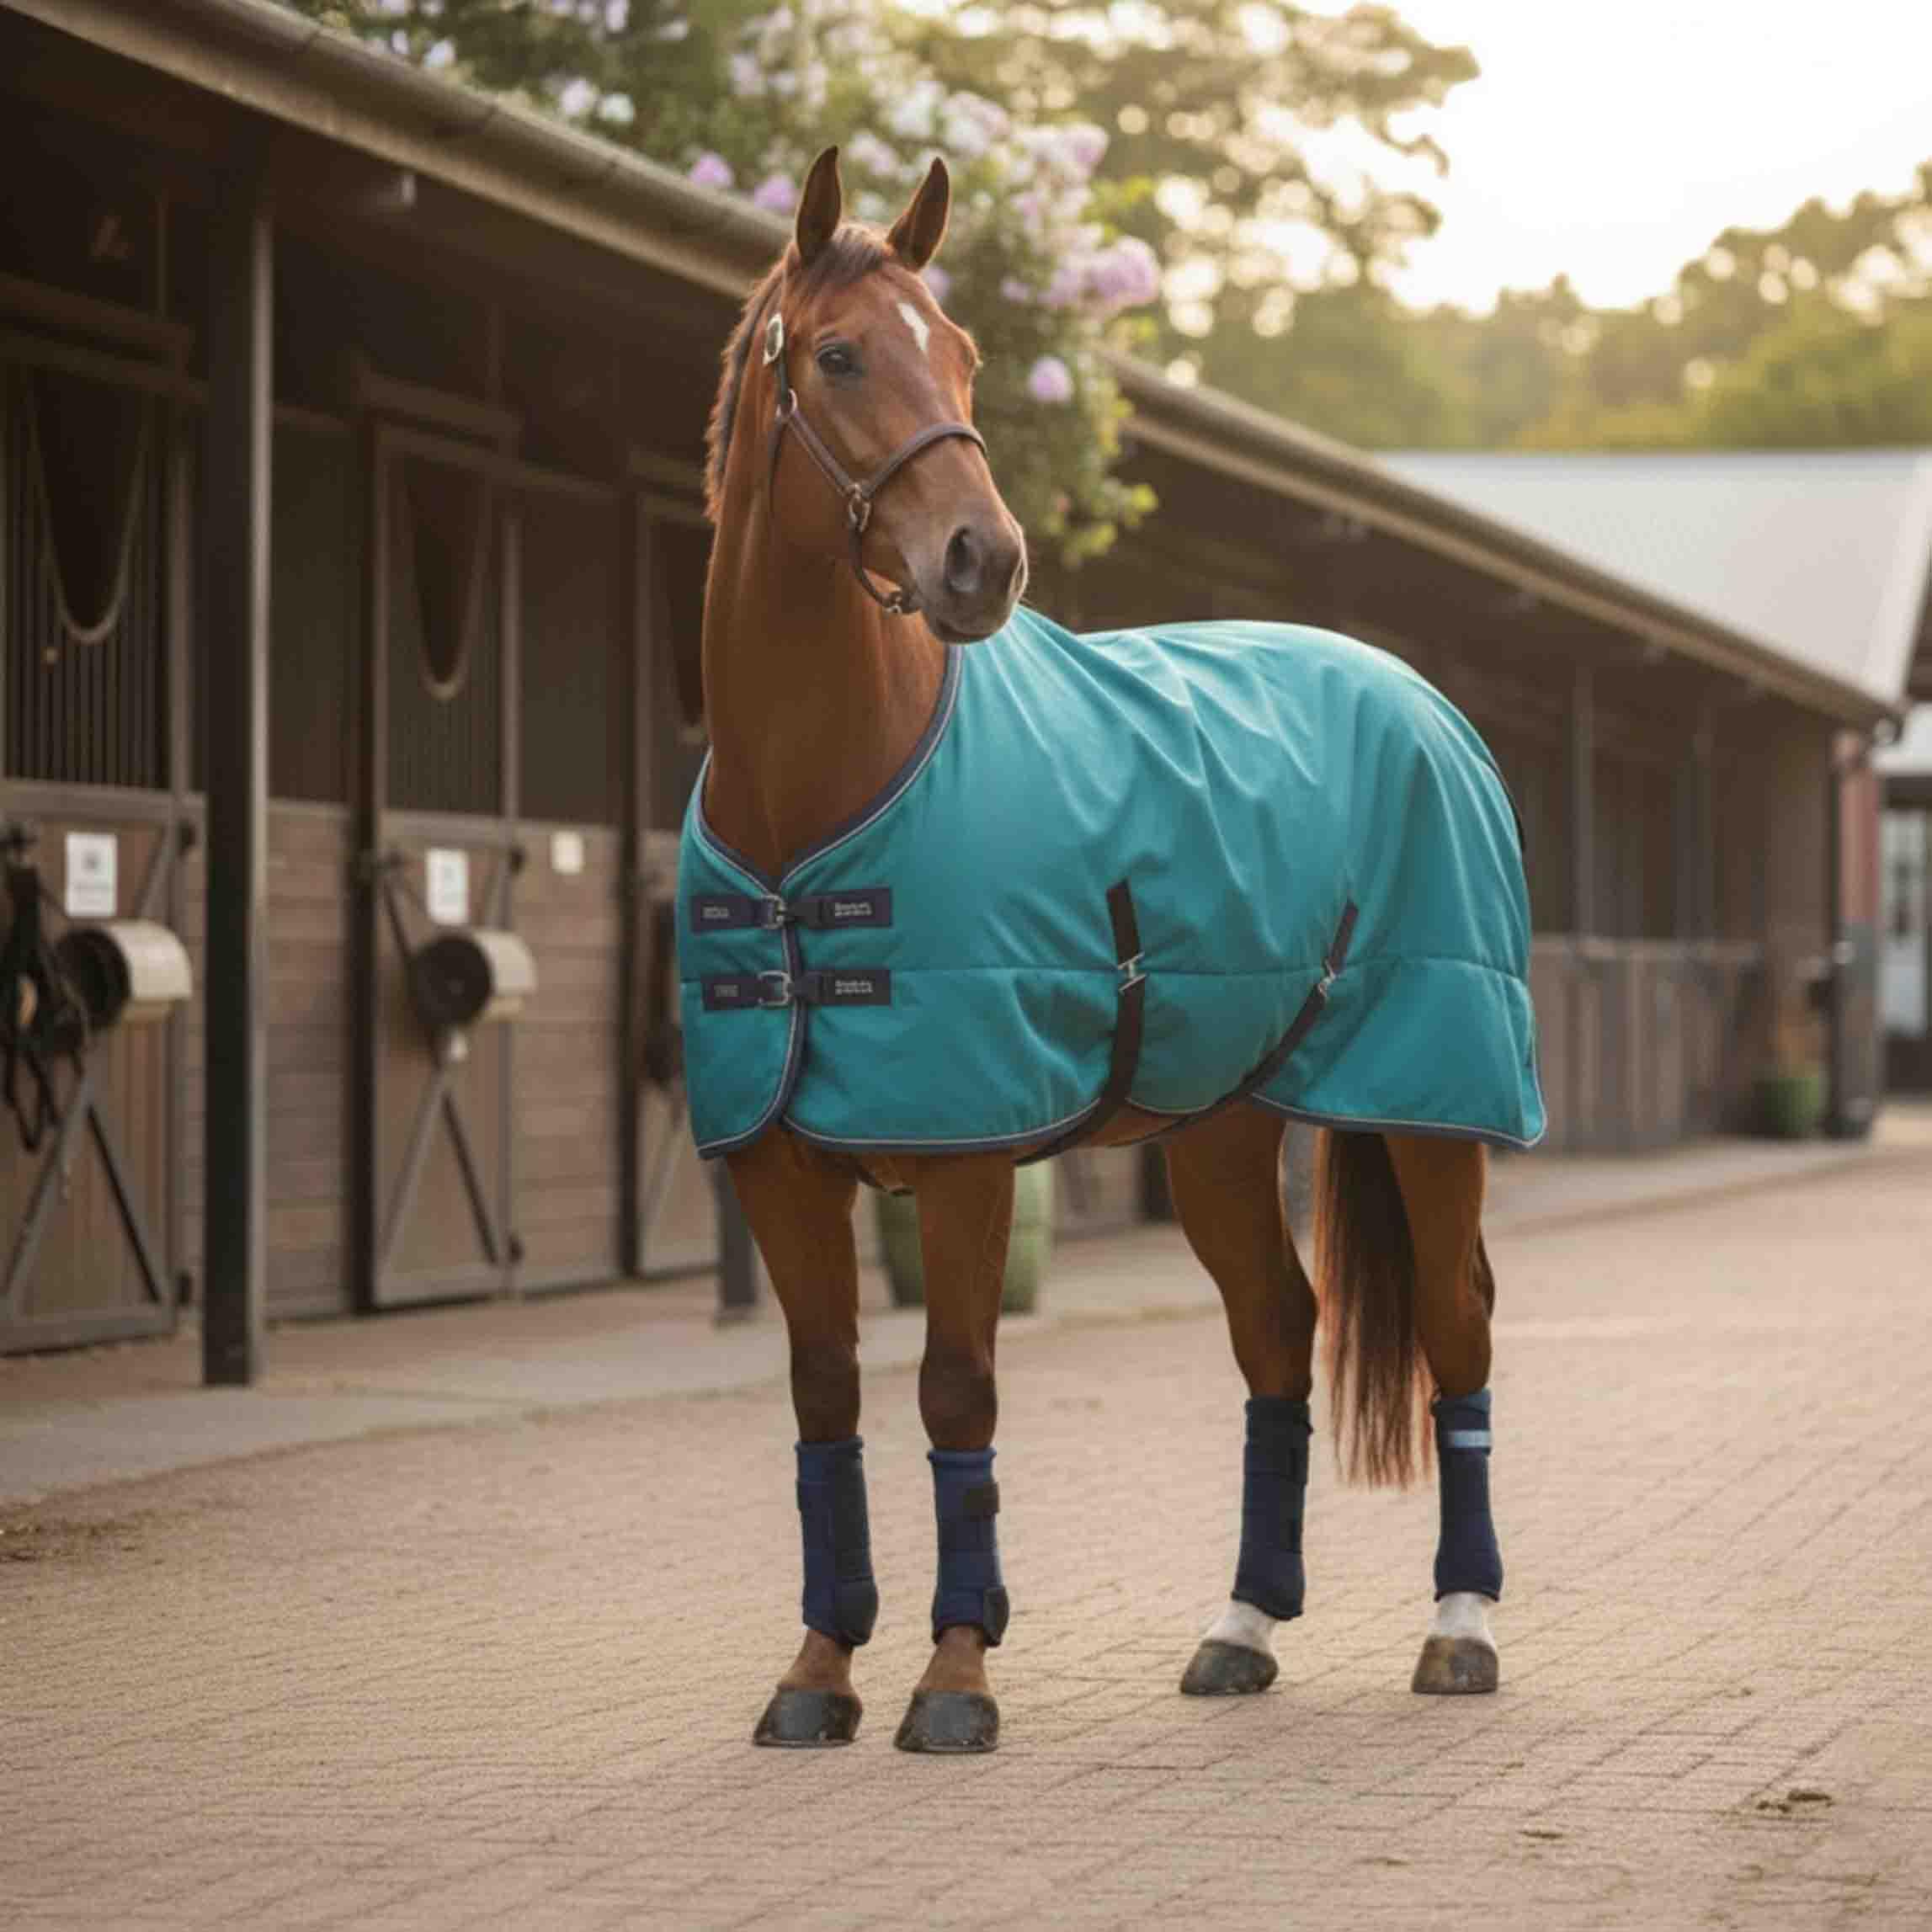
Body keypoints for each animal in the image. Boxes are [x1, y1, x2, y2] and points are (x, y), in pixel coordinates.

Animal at [682, 145, 1541, 1753]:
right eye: (839, 356)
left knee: (1456, 1329)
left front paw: (954, 1678)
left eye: (961, 354)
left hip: (1428, 1103)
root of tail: (1417, 698)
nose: (984, 559)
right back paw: (1241, 1628)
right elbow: (825, 1401)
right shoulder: (772, 1165)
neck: (816, 797)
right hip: (1219, 1130)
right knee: (1276, 1335)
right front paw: (818, 1672)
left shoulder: (962, 1160)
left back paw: (1459, 1628)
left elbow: (957, 1394)